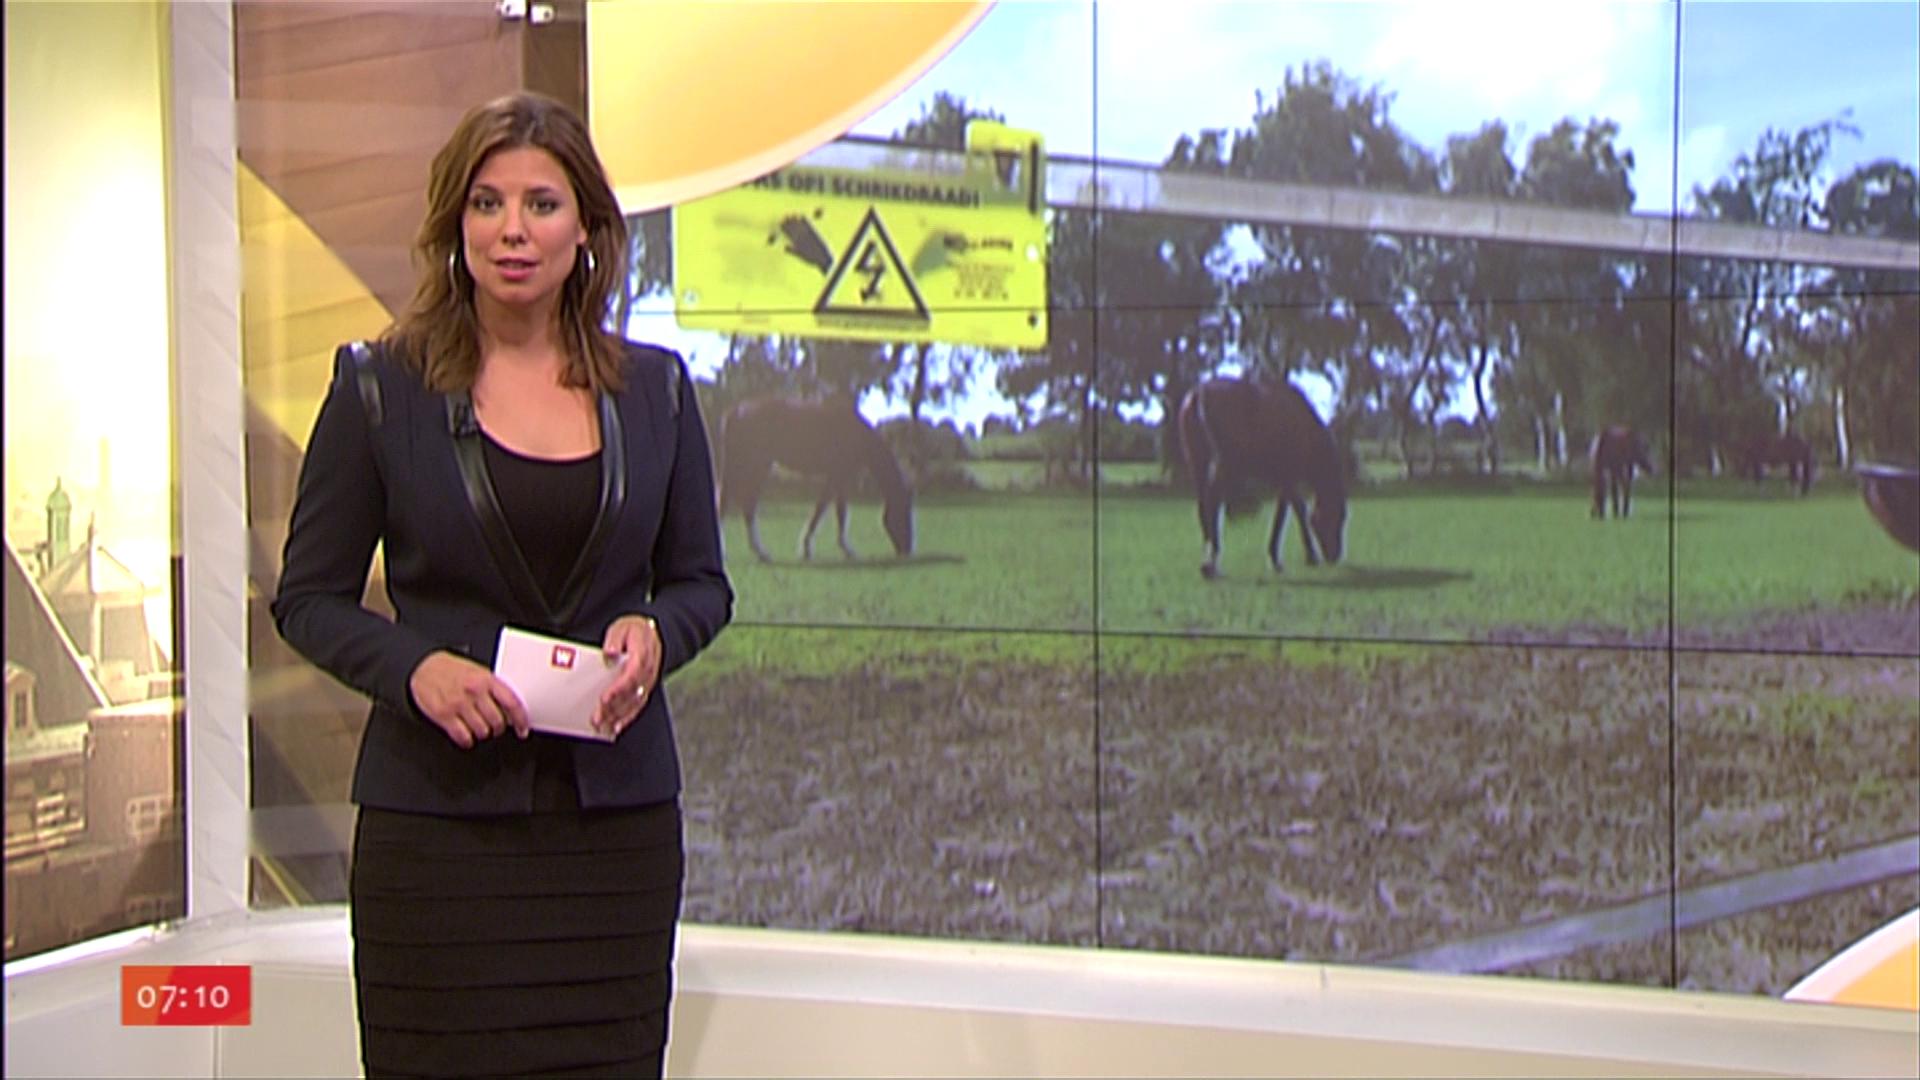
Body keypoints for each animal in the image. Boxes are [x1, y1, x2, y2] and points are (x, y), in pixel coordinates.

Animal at [717, 396, 914, 562]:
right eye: (903, 513)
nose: (907, 550)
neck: (857, 435)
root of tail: (737, 411)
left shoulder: (839, 479)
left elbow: (831, 510)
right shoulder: (838, 477)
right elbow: (829, 511)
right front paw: (837, 550)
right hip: (755, 467)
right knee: (743, 506)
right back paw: (758, 552)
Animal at [1176, 377, 1348, 579]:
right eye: (1337, 516)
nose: (1335, 555)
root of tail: (1199, 393)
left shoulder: (1284, 480)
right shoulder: (1287, 478)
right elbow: (1293, 512)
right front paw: (1298, 557)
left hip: (1198, 465)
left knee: (1203, 507)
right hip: (1222, 466)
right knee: (1213, 504)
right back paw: (1211, 562)